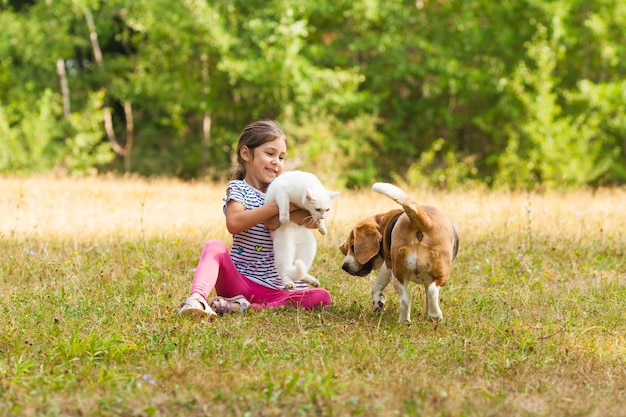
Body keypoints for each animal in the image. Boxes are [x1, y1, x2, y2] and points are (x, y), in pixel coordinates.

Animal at [338, 182, 456, 322]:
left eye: (353, 247)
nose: (344, 267)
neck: (382, 223)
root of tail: (422, 221)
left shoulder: (388, 265)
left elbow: (377, 286)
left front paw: (378, 306)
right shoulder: (389, 265)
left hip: (401, 272)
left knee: (408, 299)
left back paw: (410, 320)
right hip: (417, 272)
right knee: (426, 293)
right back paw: (429, 317)